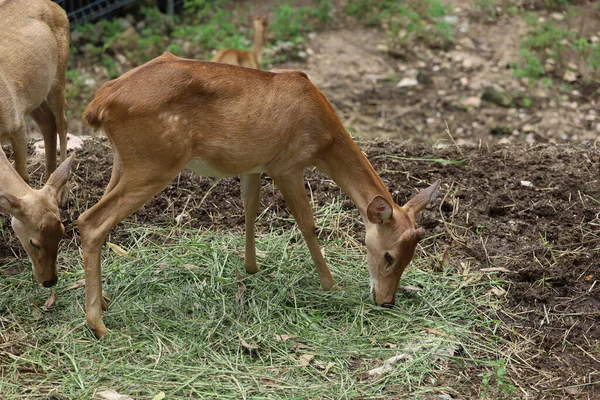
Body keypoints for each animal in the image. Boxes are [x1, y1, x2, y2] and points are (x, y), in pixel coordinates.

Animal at [0, 0, 69, 199]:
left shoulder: (17, 125)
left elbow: (22, 177)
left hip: (57, 76)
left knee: (62, 120)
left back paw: (64, 194)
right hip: (35, 93)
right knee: (48, 123)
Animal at [79, 51, 440, 336]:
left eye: (411, 256)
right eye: (389, 256)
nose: (386, 301)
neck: (323, 136)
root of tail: (98, 104)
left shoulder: (254, 163)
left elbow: (250, 206)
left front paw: (251, 267)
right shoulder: (287, 164)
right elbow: (307, 223)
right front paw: (331, 284)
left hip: (124, 161)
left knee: (95, 220)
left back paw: (104, 301)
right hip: (154, 163)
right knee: (91, 221)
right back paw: (98, 324)